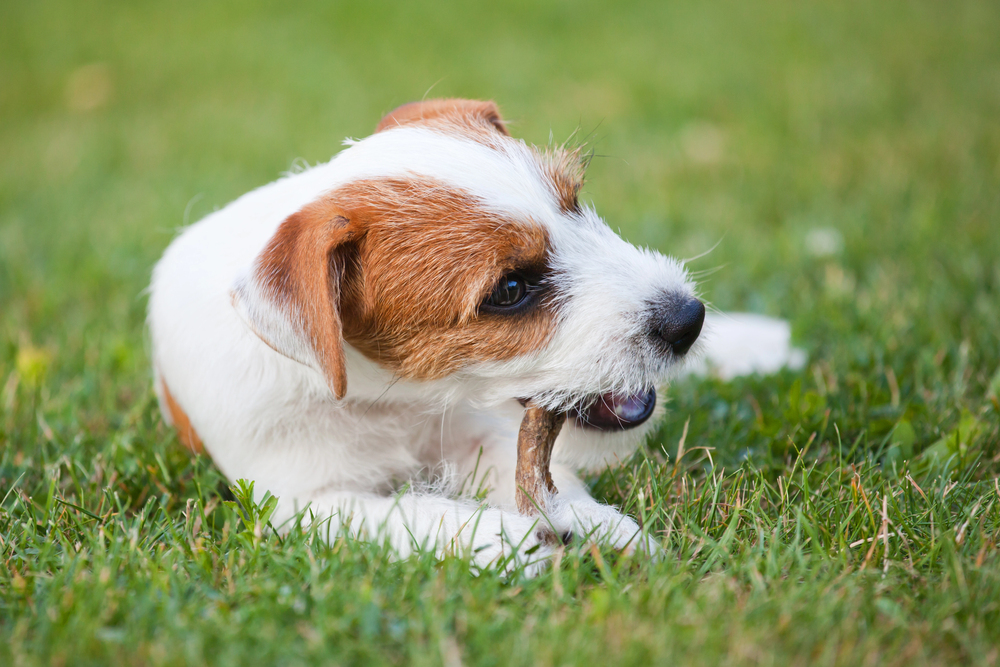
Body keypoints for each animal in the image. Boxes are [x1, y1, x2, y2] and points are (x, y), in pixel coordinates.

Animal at [148, 100, 804, 576]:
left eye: (576, 205)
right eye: (510, 288)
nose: (688, 319)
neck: (393, 403)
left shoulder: (478, 436)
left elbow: (545, 479)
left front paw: (596, 523)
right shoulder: (299, 502)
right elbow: (404, 515)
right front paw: (508, 540)